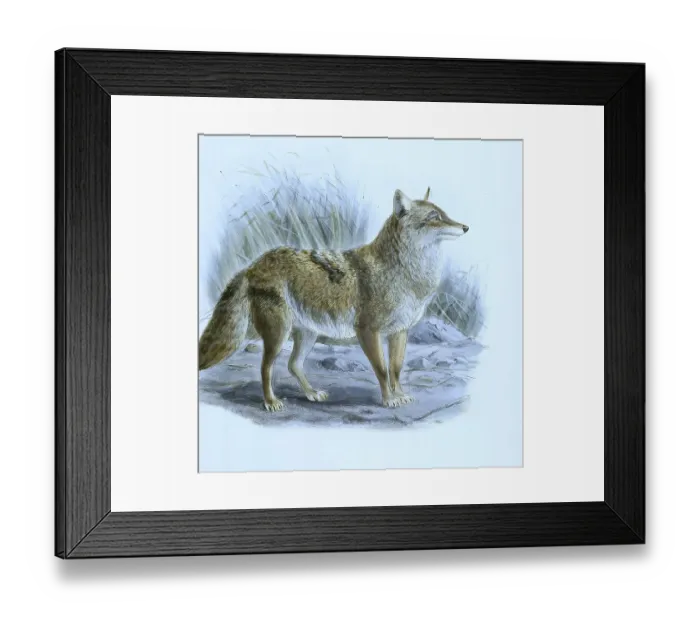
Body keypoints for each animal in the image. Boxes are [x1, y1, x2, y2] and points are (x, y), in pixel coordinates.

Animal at [198, 188, 469, 411]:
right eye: (434, 217)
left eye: (444, 213)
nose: (466, 227)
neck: (408, 275)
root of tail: (252, 265)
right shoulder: (368, 331)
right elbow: (382, 370)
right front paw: (388, 399)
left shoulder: (399, 332)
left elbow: (396, 370)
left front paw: (400, 395)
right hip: (279, 335)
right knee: (266, 368)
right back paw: (271, 402)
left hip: (307, 335)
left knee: (293, 365)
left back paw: (311, 393)